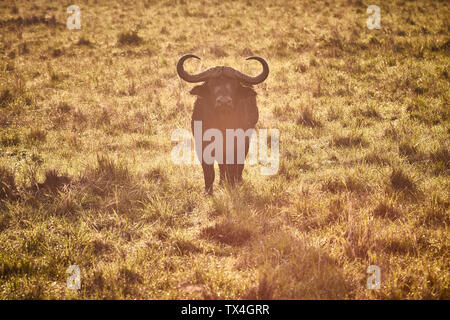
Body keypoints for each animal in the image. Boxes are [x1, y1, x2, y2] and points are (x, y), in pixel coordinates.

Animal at [175, 54, 268, 194]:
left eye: (234, 84)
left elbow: (233, 166)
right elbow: (209, 170)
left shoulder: (237, 144)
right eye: (212, 84)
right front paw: (208, 191)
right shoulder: (202, 145)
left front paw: (231, 185)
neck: (221, 124)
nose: (224, 102)